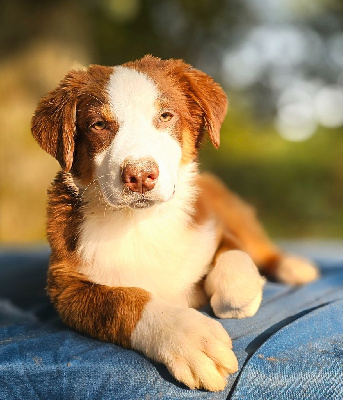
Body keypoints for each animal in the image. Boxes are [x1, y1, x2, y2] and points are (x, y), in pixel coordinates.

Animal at [30, 54, 318, 390]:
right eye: (98, 124)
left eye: (166, 116)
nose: (140, 175)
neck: (141, 222)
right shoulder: (66, 286)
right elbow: (122, 301)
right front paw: (190, 337)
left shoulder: (210, 223)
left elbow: (233, 259)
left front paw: (237, 298)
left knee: (254, 242)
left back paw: (293, 266)